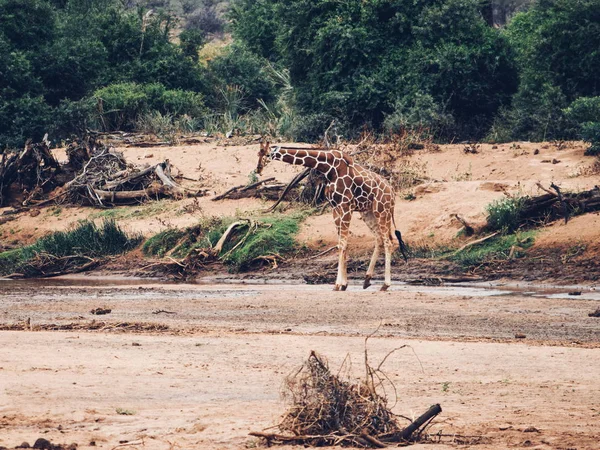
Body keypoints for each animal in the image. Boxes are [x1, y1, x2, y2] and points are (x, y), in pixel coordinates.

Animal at [255, 141, 406, 294]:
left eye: (265, 154)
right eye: (258, 153)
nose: (258, 169)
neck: (328, 167)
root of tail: (392, 192)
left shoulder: (345, 206)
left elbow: (343, 244)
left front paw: (339, 284)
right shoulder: (335, 208)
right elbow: (341, 244)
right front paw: (342, 285)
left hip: (382, 210)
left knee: (388, 242)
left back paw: (385, 285)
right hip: (367, 212)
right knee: (379, 239)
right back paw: (367, 280)